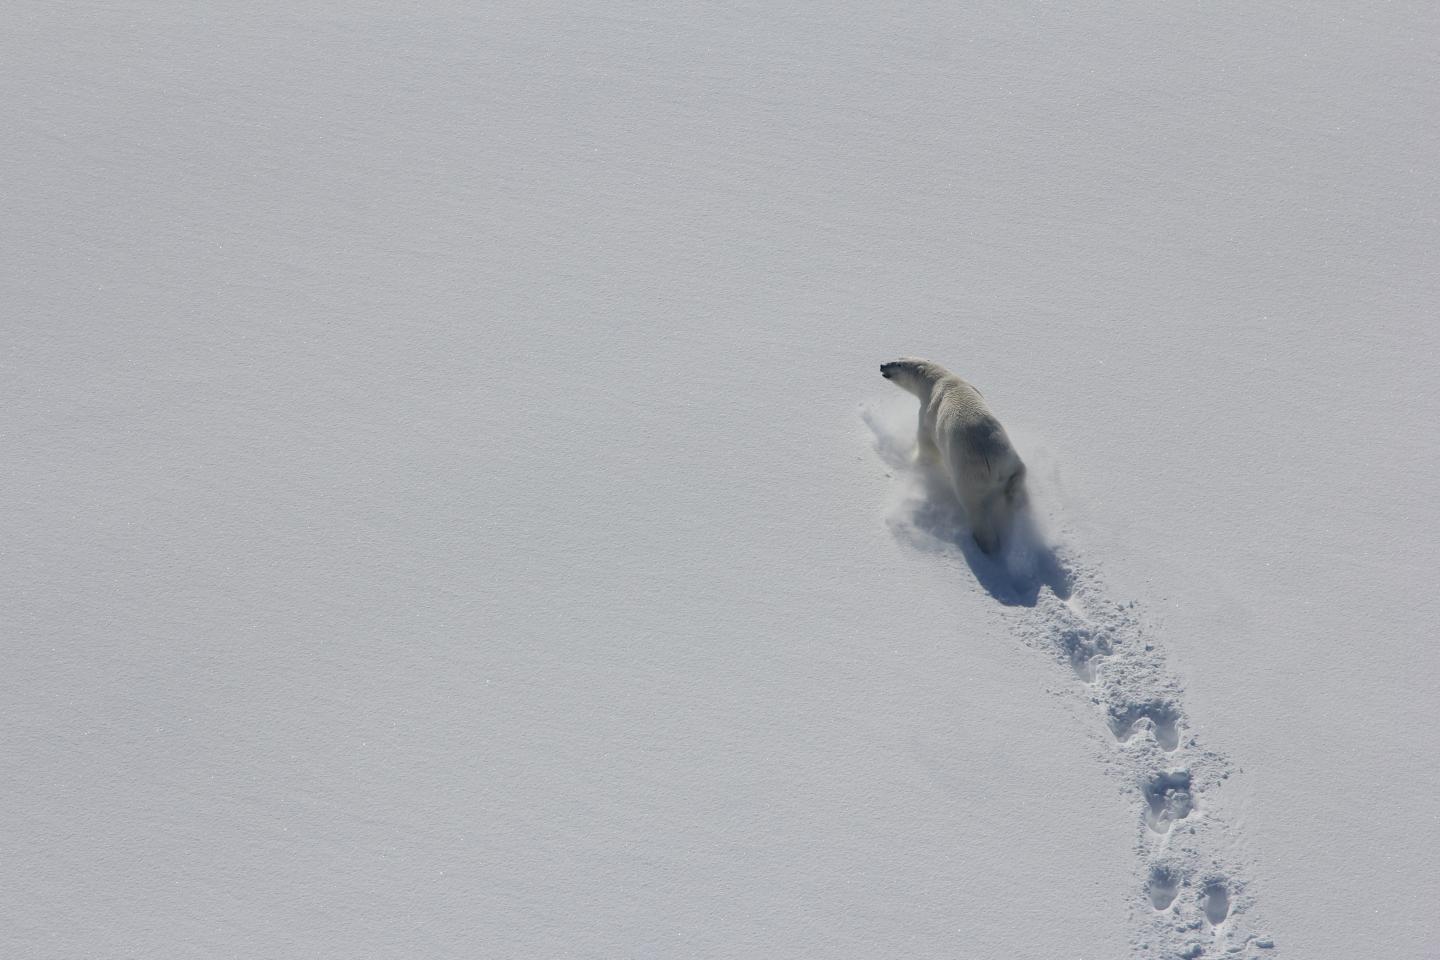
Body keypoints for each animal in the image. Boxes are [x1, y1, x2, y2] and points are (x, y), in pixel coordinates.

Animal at [880, 357, 1028, 555]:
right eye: (898, 358)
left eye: (898, 363)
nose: (882, 365)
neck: (940, 378)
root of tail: (993, 466)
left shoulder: (928, 414)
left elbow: (927, 446)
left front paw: (913, 460)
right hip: (1010, 458)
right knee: (1018, 479)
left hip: (968, 473)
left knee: (974, 507)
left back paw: (986, 545)